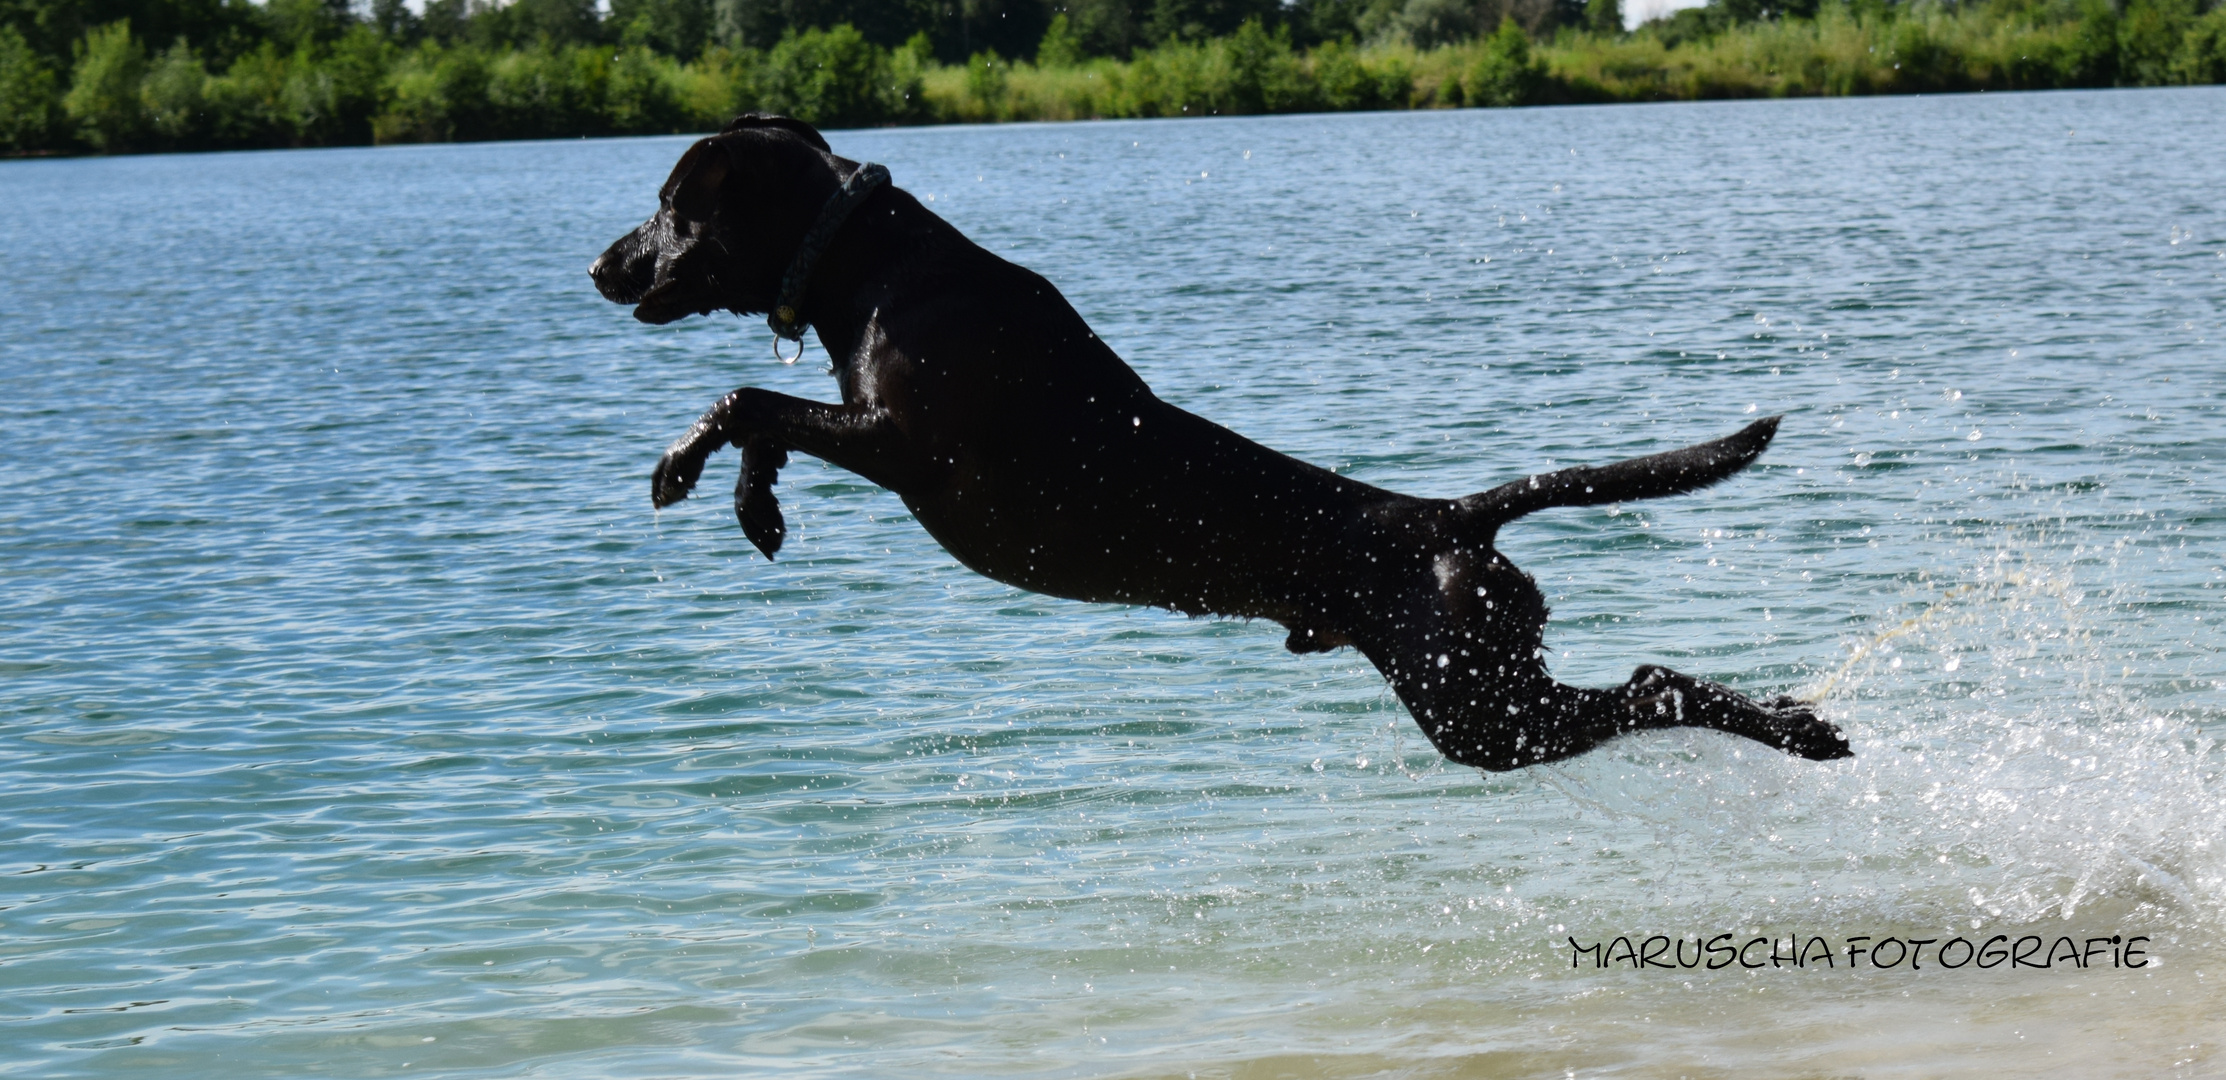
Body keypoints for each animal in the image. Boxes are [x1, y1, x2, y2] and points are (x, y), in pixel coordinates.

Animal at [587, 115, 1843, 766]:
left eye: (671, 205)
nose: (600, 264)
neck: (871, 262)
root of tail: (1448, 517)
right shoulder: (876, 437)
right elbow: (769, 417)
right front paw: (756, 506)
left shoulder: (908, 449)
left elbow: (751, 397)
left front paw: (687, 468)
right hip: (1481, 685)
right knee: (1644, 681)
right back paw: (1797, 721)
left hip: (1476, 705)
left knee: (1651, 684)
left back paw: (1797, 729)